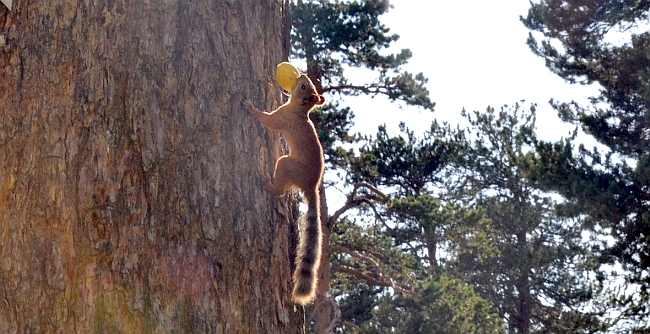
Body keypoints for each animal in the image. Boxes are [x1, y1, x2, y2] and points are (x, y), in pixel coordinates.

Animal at [243, 73, 324, 306]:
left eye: (304, 87)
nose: (302, 75)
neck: (299, 110)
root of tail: (311, 186)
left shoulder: (281, 117)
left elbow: (268, 121)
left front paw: (252, 108)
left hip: (286, 164)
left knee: (279, 189)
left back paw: (267, 184)